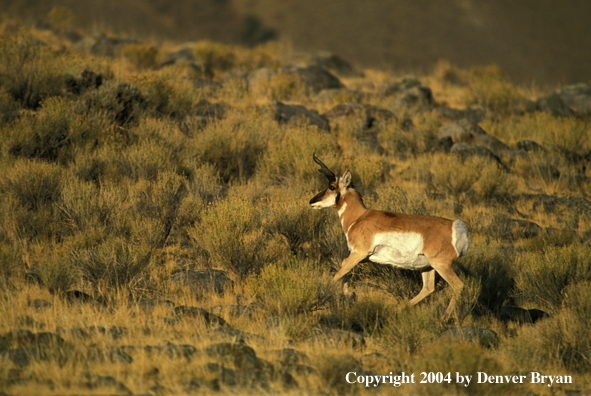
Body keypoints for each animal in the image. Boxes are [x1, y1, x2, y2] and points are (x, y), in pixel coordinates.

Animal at [310, 155, 472, 318]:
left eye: (332, 187)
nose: (312, 201)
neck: (359, 217)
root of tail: (456, 226)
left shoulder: (359, 253)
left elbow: (338, 274)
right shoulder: (365, 257)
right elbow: (344, 266)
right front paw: (349, 294)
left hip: (441, 265)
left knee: (458, 286)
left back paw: (444, 318)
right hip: (427, 266)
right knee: (428, 288)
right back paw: (399, 309)